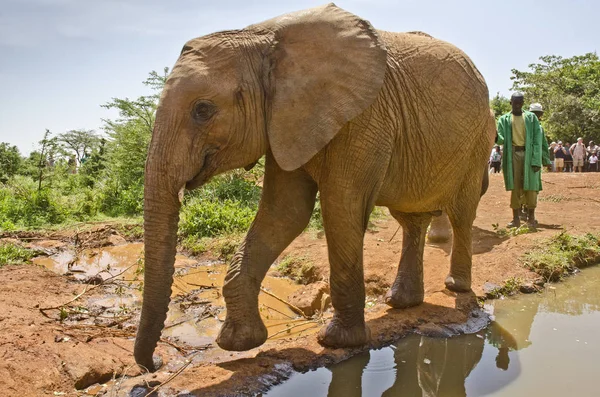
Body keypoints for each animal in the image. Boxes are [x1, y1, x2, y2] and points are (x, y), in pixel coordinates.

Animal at [136, 3, 496, 370]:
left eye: (203, 110)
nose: (155, 364)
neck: (260, 39)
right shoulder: (285, 120)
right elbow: (284, 213)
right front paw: (238, 343)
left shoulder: (363, 117)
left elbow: (340, 207)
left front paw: (338, 342)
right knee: (411, 219)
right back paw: (401, 302)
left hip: (479, 139)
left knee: (461, 213)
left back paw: (456, 287)